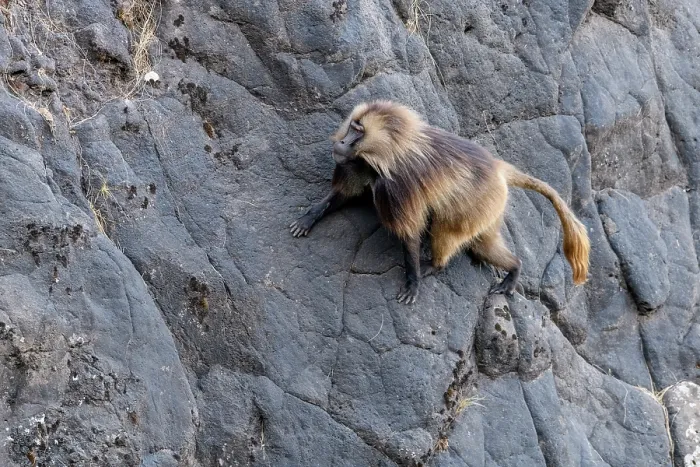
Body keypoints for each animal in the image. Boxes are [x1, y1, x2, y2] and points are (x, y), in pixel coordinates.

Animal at [290, 100, 590, 304]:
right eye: (352, 126)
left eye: (358, 131)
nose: (341, 142)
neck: (393, 148)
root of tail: (499, 168)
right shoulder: (361, 165)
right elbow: (344, 195)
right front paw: (309, 218)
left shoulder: (398, 185)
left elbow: (410, 233)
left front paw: (413, 282)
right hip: (491, 209)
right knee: (483, 244)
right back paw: (515, 267)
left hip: (478, 203)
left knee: (448, 231)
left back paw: (435, 265)